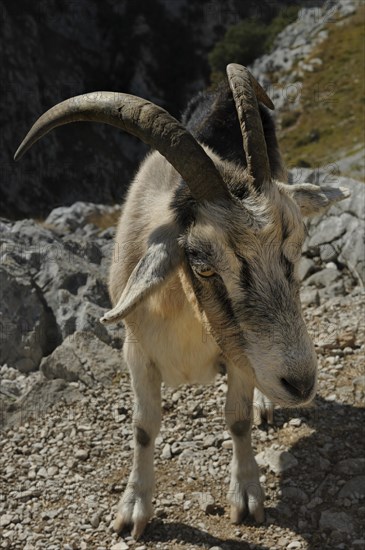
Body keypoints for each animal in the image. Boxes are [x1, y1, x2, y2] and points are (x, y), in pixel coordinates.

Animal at [14, 63, 348, 540]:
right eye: (202, 264)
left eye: (297, 246)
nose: (300, 383)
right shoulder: (137, 353)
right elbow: (143, 427)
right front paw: (134, 508)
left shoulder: (240, 351)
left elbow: (237, 418)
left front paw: (247, 495)